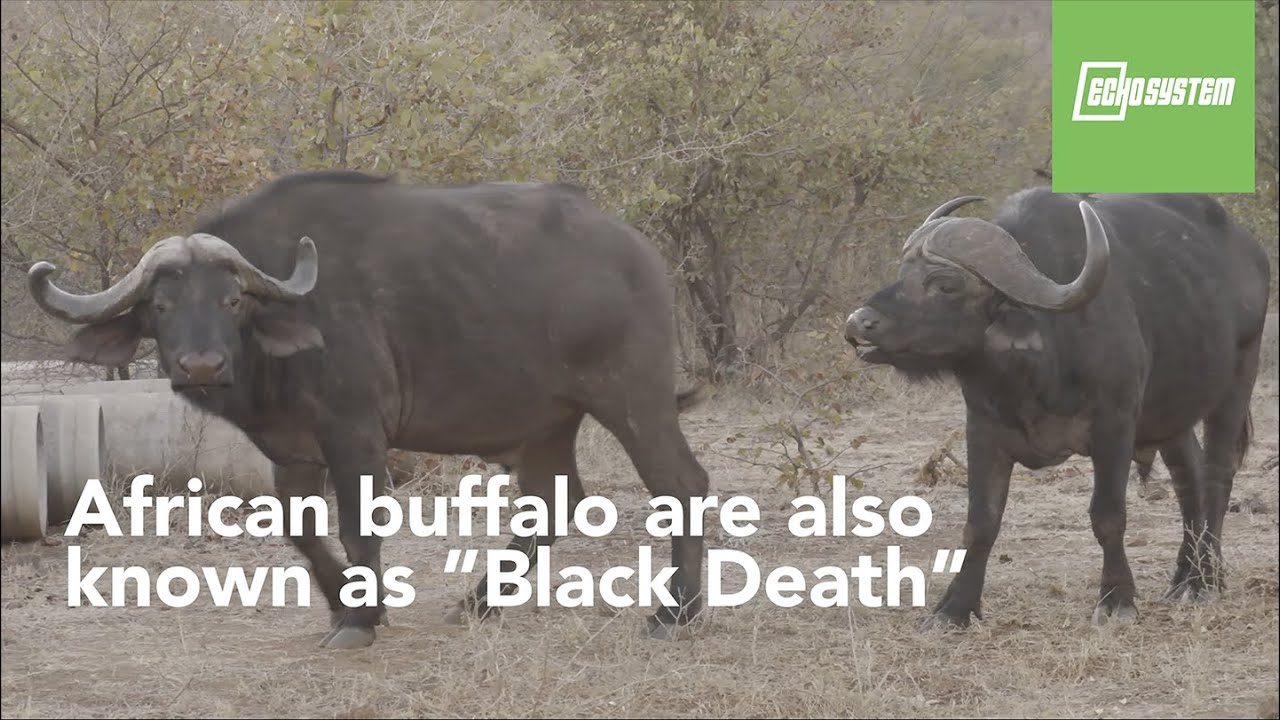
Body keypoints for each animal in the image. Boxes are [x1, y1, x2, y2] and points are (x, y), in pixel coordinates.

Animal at [27, 170, 712, 649]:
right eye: (161, 305)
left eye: (231, 300)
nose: (202, 365)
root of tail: (636, 254)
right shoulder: (292, 449)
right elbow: (299, 528)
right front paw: (349, 604)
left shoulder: (354, 435)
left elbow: (360, 525)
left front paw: (359, 619)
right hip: (548, 422)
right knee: (553, 503)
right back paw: (477, 602)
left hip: (633, 400)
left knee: (681, 483)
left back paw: (675, 612)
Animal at [844, 188, 1270, 628]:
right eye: (903, 272)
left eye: (944, 285)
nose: (858, 323)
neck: (1038, 367)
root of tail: (1250, 253)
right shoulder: (983, 430)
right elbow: (981, 522)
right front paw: (955, 608)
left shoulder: (1115, 426)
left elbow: (1108, 516)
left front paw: (1116, 599)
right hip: (1171, 416)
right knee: (1191, 479)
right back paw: (1185, 577)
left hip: (1237, 381)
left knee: (1217, 475)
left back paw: (1206, 581)